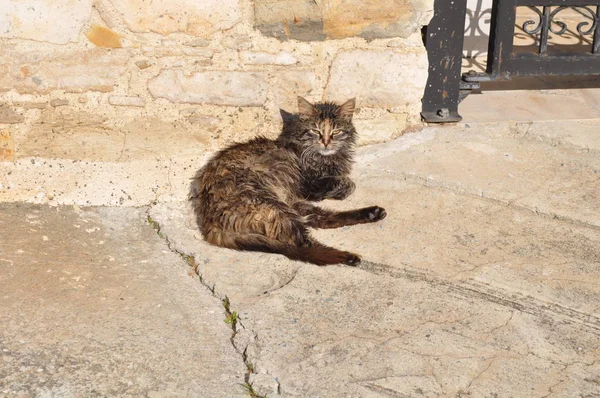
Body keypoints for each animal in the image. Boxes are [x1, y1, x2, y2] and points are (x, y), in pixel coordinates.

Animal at [191, 95, 390, 266]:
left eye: (336, 131)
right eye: (315, 131)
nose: (325, 142)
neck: (324, 157)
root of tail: (210, 224)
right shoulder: (308, 185)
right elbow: (348, 183)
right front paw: (342, 188)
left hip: (291, 206)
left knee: (323, 219)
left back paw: (372, 213)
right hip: (272, 205)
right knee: (302, 245)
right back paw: (347, 256)